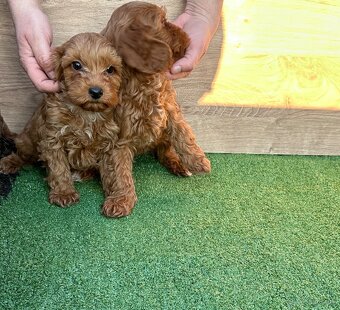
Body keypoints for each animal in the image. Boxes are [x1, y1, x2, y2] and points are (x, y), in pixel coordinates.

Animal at [0, 32, 122, 208]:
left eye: (110, 70)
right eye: (76, 65)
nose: (96, 91)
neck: (85, 112)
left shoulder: (107, 140)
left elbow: (111, 170)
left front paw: (117, 197)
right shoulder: (53, 138)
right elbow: (59, 168)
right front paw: (64, 192)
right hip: (27, 142)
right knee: (23, 155)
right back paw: (10, 162)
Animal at [99, 1, 211, 218]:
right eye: (163, 22)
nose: (187, 36)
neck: (142, 81)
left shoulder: (169, 107)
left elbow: (184, 134)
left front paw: (198, 160)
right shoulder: (118, 137)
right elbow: (119, 170)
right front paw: (121, 199)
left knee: (164, 150)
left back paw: (180, 165)